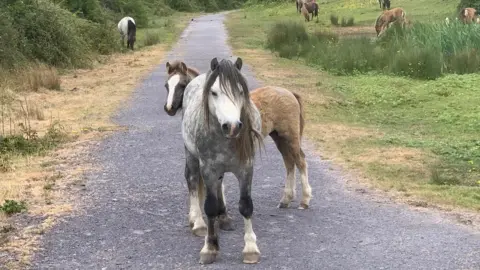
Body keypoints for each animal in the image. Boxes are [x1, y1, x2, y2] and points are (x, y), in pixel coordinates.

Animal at [164, 60, 316, 212]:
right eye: (167, 85)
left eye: (182, 85)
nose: (169, 108)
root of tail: (289, 93)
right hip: (279, 138)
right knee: (289, 162)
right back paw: (286, 200)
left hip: (290, 138)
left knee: (300, 162)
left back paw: (304, 200)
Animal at [181, 57, 262, 264]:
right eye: (214, 92)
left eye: (240, 91)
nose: (232, 126)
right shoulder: (208, 169)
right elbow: (209, 207)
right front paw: (210, 248)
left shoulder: (246, 168)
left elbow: (246, 206)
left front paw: (250, 249)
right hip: (191, 156)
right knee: (192, 182)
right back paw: (198, 222)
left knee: (219, 186)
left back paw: (223, 217)